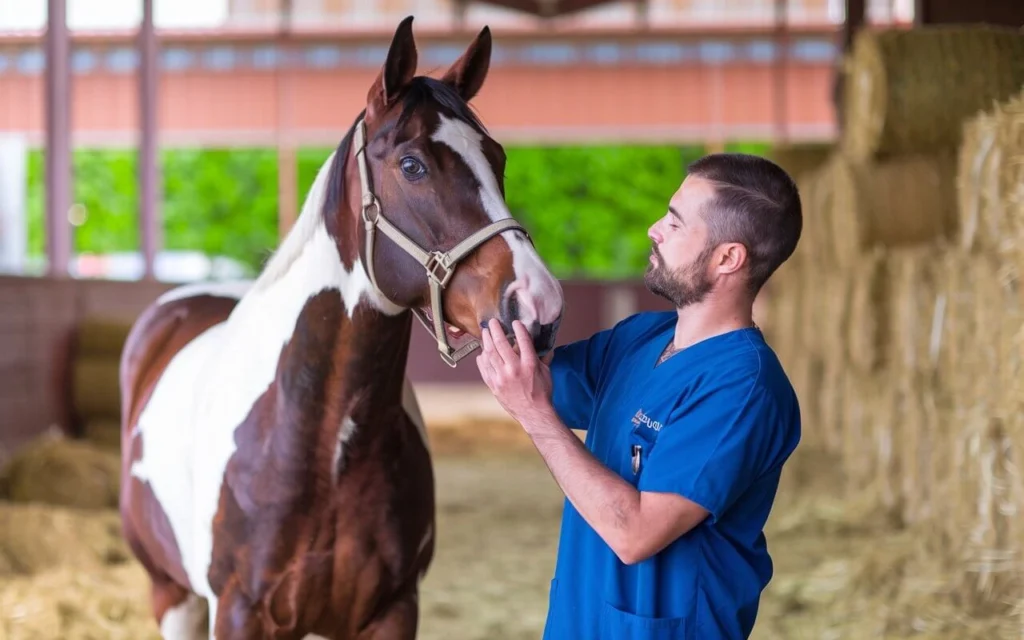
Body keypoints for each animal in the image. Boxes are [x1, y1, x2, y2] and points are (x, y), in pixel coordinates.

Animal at [120, 17, 569, 634]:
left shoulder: (393, 609)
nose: (537, 303)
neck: (323, 448)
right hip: (170, 594)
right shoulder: (237, 611)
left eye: (496, 159)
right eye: (412, 165)